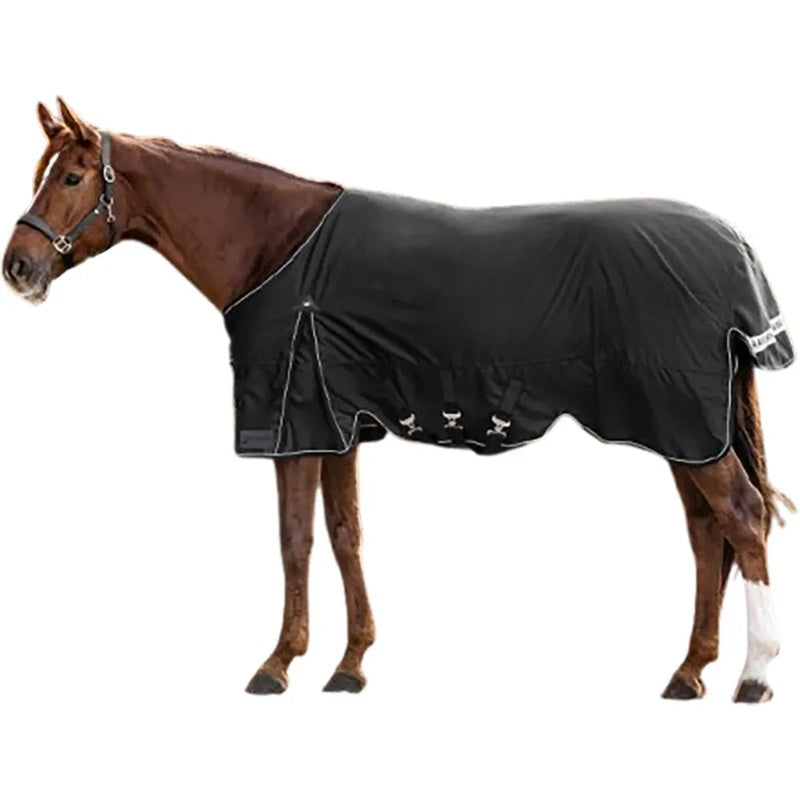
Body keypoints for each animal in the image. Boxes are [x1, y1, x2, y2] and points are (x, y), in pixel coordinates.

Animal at [2, 98, 794, 702]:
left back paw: (754, 676)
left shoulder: (294, 425)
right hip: (684, 431)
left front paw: (277, 663)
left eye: (71, 176)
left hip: (685, 424)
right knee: (707, 533)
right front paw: (350, 665)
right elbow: (346, 534)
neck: (275, 246)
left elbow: (295, 541)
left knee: (742, 517)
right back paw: (689, 672)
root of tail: (734, 247)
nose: (19, 267)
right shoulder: (340, 427)